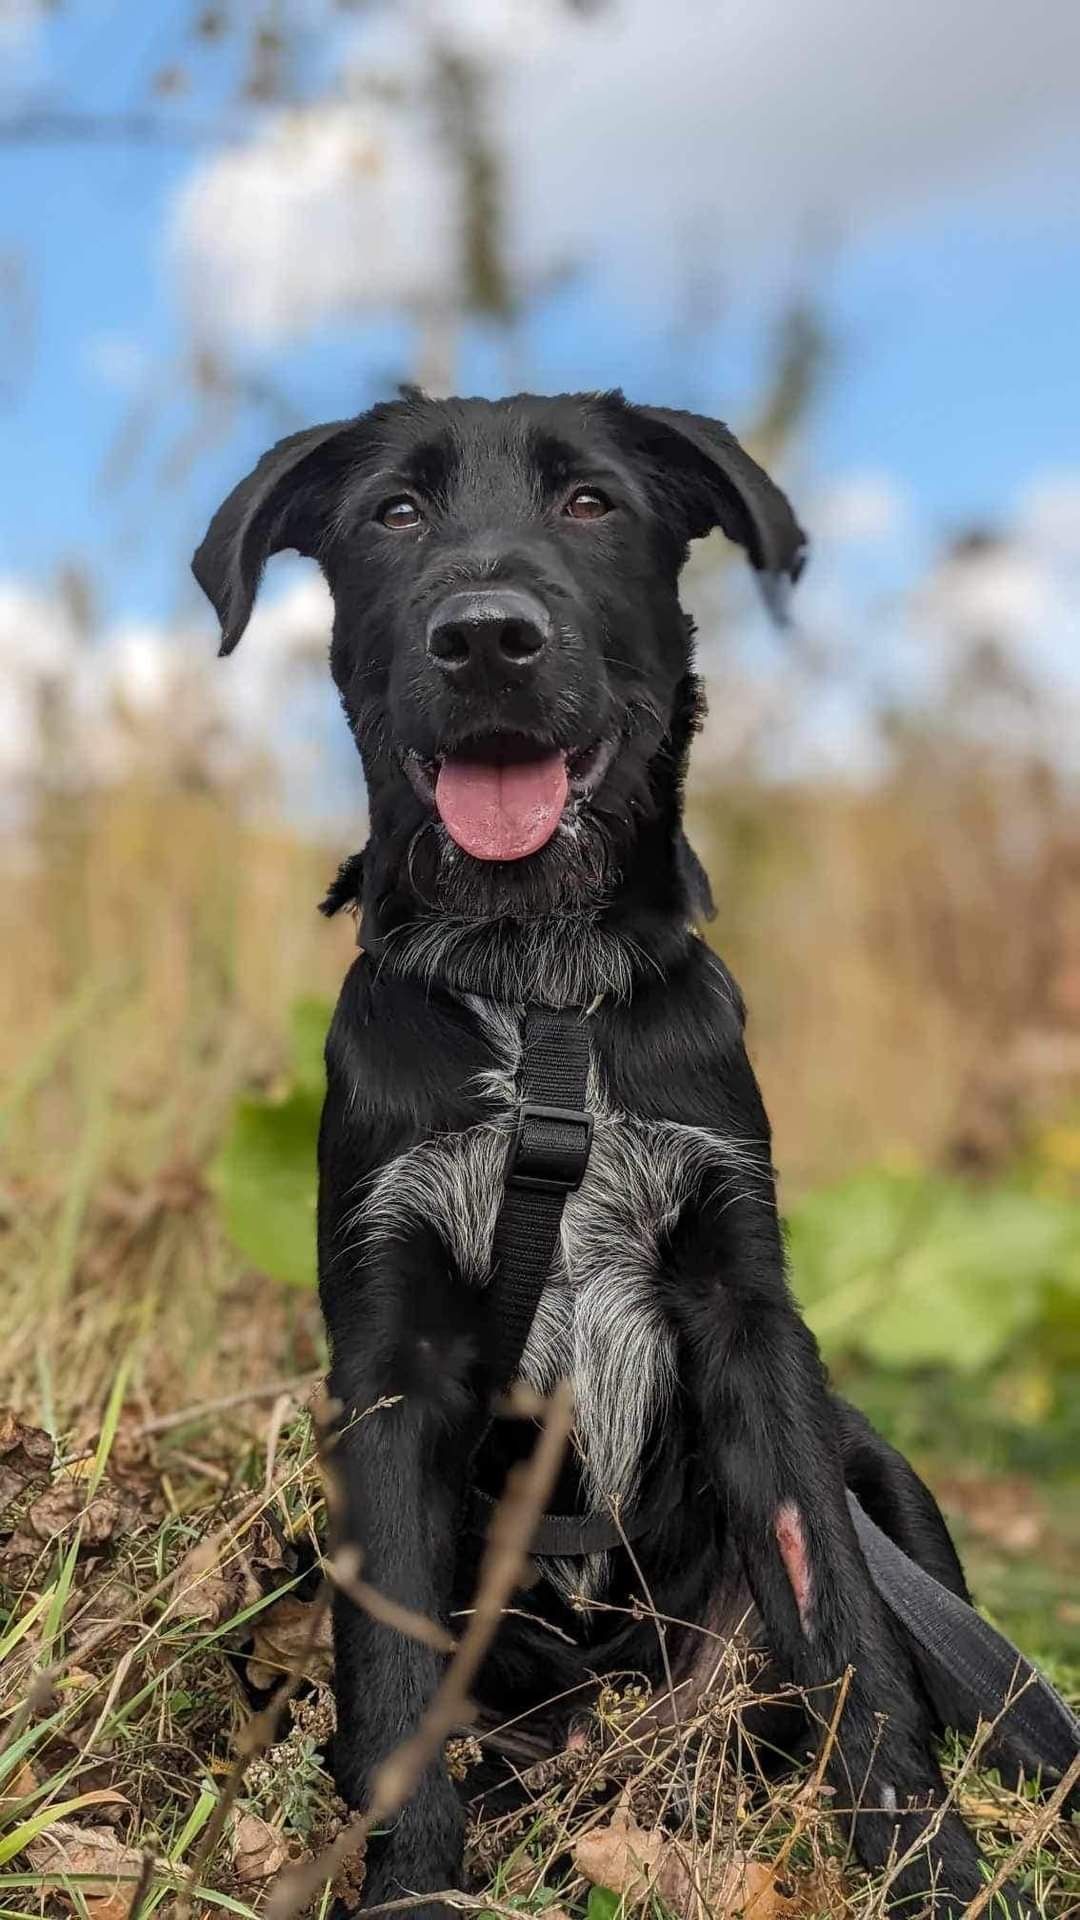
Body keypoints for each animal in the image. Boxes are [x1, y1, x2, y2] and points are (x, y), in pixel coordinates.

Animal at [197, 385, 1037, 1904]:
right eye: (392, 514)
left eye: (591, 502)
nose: (486, 638)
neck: (541, 982)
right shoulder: (385, 1357)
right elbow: (393, 1678)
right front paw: (415, 1888)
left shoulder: (749, 1313)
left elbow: (850, 1635)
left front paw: (928, 1871)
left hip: (879, 1468)